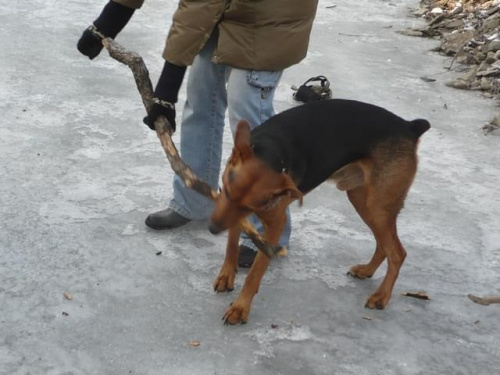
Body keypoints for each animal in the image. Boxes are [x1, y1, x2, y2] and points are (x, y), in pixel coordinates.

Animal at [208, 98, 430, 324]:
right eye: (226, 191)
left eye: (250, 206)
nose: (213, 228)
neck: (271, 151)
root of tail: (409, 127)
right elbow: (231, 244)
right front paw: (227, 275)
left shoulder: (275, 223)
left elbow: (256, 269)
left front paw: (240, 307)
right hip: (363, 201)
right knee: (383, 244)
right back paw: (366, 270)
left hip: (378, 207)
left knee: (397, 253)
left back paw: (381, 296)